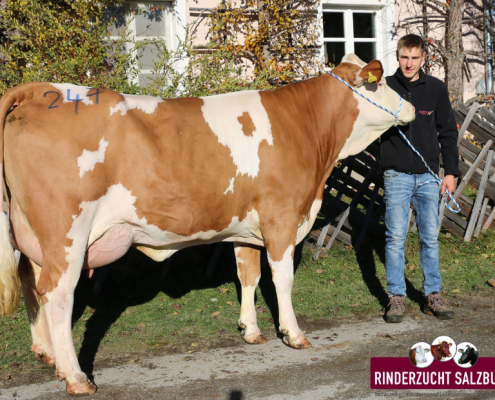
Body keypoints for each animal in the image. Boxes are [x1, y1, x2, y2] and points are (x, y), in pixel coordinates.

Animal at [0, 54, 416, 396]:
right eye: (381, 82)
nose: (413, 108)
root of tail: (40, 88)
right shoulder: (280, 216)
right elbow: (282, 278)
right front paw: (293, 333)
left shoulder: (246, 227)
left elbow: (248, 275)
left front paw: (251, 331)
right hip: (67, 231)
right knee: (56, 293)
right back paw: (76, 377)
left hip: (31, 233)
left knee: (31, 283)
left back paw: (48, 355)